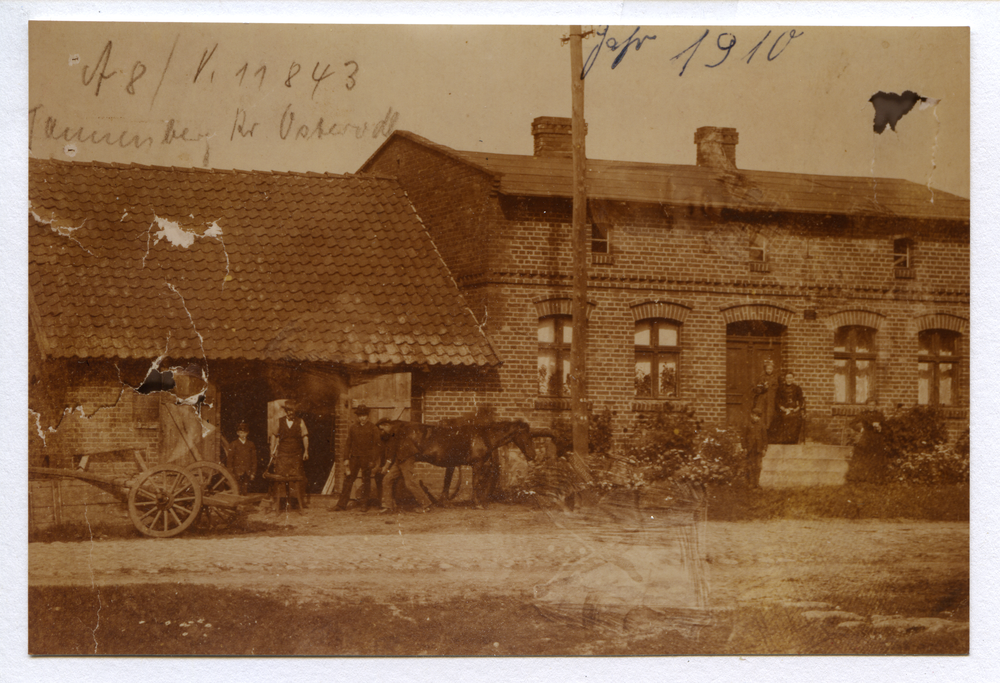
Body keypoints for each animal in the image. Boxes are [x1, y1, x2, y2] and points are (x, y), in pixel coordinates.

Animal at [376, 416, 536, 508]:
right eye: (525, 434)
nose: (532, 455)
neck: (484, 436)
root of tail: (400, 426)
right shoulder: (477, 464)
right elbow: (476, 483)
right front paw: (477, 503)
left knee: (391, 480)